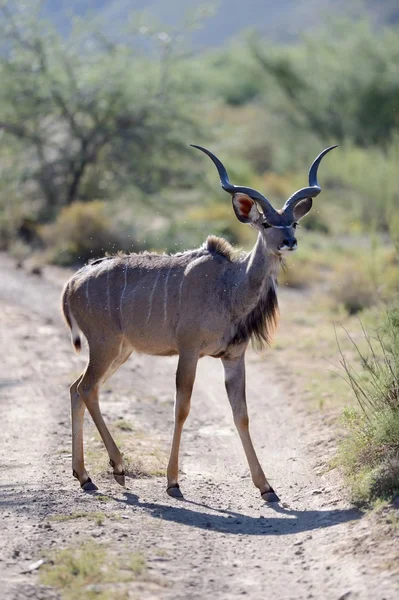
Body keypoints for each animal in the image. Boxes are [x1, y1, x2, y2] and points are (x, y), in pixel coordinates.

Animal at [63, 143, 338, 500]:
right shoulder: (189, 350)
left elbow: (241, 415)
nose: (289, 242)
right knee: (86, 388)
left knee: (79, 388)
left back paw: (85, 475)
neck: (228, 286)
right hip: (104, 345)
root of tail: (73, 282)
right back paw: (116, 467)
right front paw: (172, 482)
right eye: (266, 224)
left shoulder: (234, 357)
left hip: (120, 351)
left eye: (294, 223)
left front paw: (266, 486)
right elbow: (182, 409)